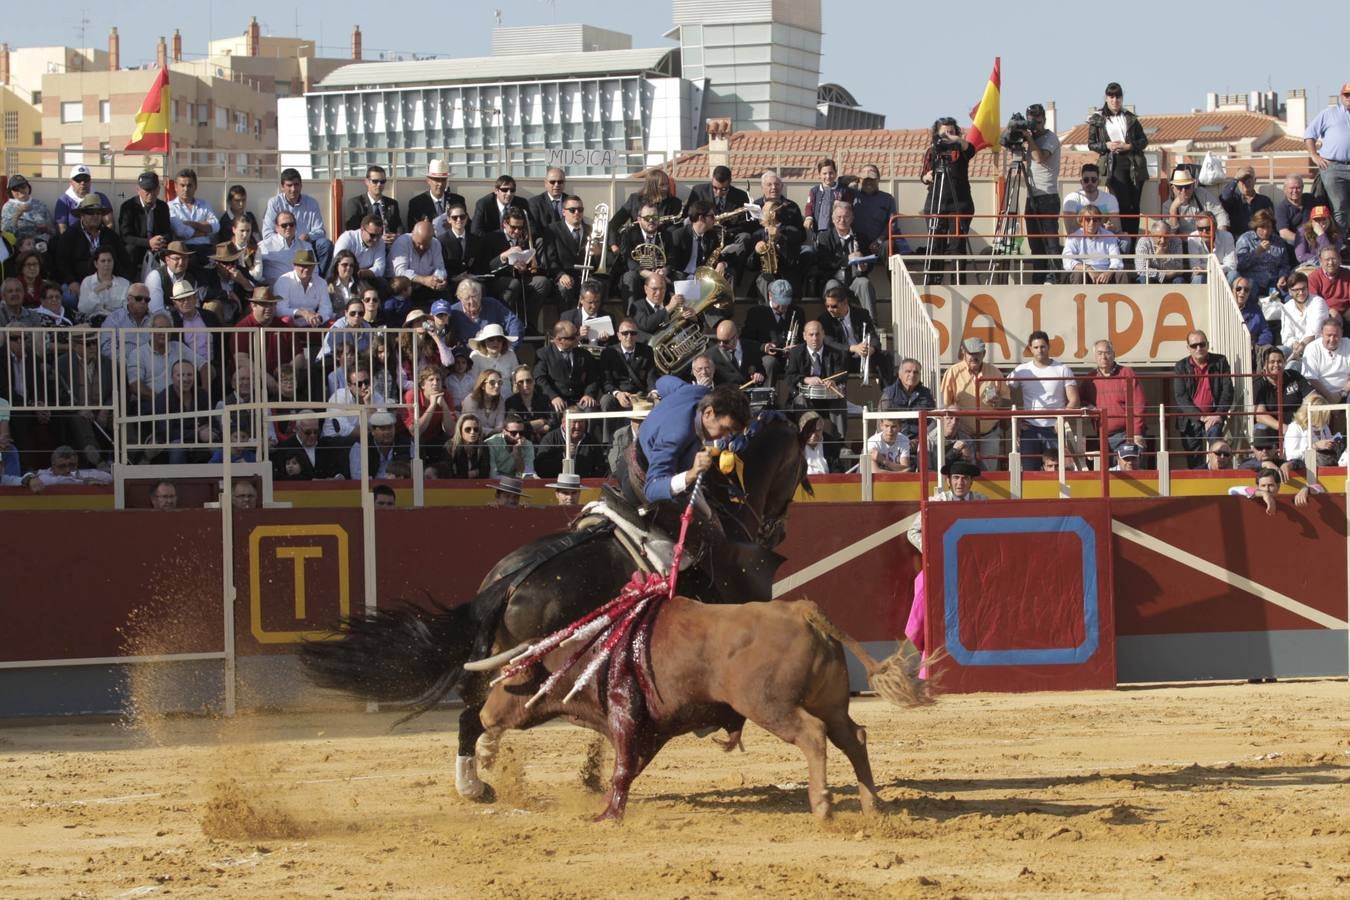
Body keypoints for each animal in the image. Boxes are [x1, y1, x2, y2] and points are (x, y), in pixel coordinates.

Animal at [302, 412, 815, 798]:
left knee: (474, 712)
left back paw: (477, 780)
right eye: (799, 472)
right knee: (485, 712)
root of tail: (506, 584)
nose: (780, 528)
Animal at [475, 599, 928, 825]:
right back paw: (872, 804)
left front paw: (607, 814)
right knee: (854, 737)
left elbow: (622, 766)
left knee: (813, 735)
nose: (483, 717)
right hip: (830, 702)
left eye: (506, 676)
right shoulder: (653, 728)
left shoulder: (624, 716)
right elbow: (631, 765)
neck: (596, 651)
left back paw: (822, 805)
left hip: (770, 705)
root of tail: (801, 609)